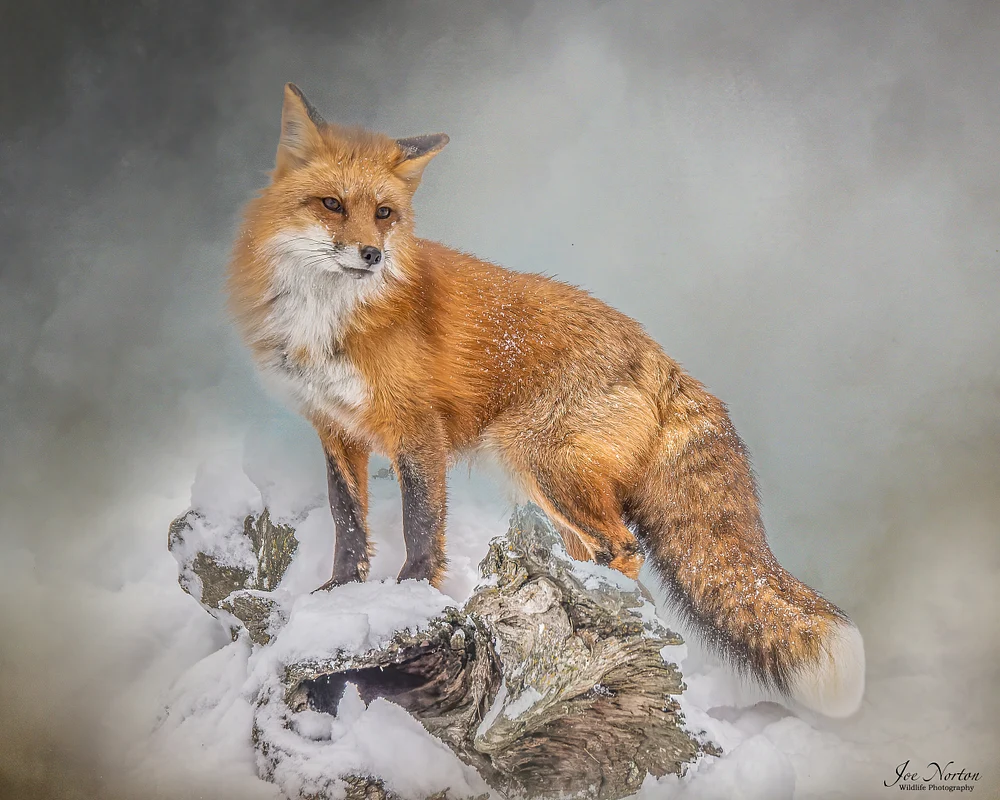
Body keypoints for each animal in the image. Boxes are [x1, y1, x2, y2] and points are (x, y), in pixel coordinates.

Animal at [226, 83, 865, 718]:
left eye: (384, 214)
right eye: (331, 204)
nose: (371, 254)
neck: (329, 319)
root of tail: (658, 354)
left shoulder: (418, 430)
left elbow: (420, 527)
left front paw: (410, 599)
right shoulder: (335, 430)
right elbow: (348, 523)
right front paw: (336, 598)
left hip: (540, 460)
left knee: (624, 547)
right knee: (599, 553)